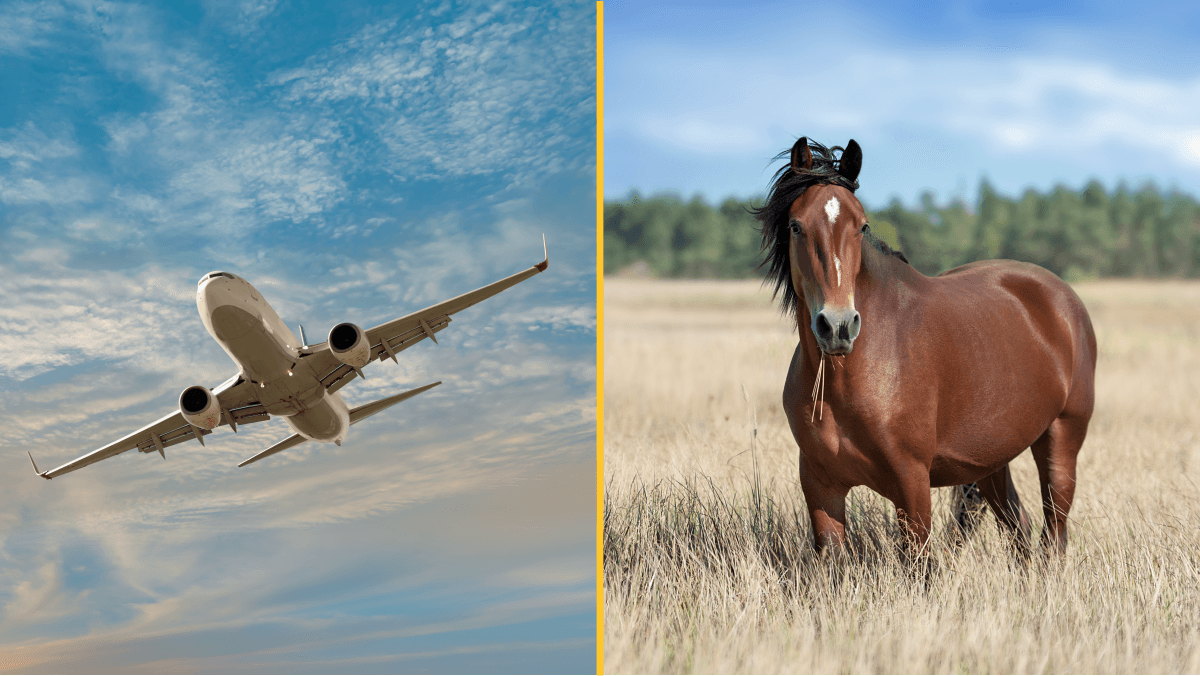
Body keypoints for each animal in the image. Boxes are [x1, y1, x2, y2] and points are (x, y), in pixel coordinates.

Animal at [755, 137, 1097, 558]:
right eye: (796, 226)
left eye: (862, 225)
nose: (837, 327)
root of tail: (1063, 298)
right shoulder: (821, 486)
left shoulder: (911, 482)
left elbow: (919, 563)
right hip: (991, 460)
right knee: (1020, 528)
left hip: (1061, 441)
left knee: (1054, 534)